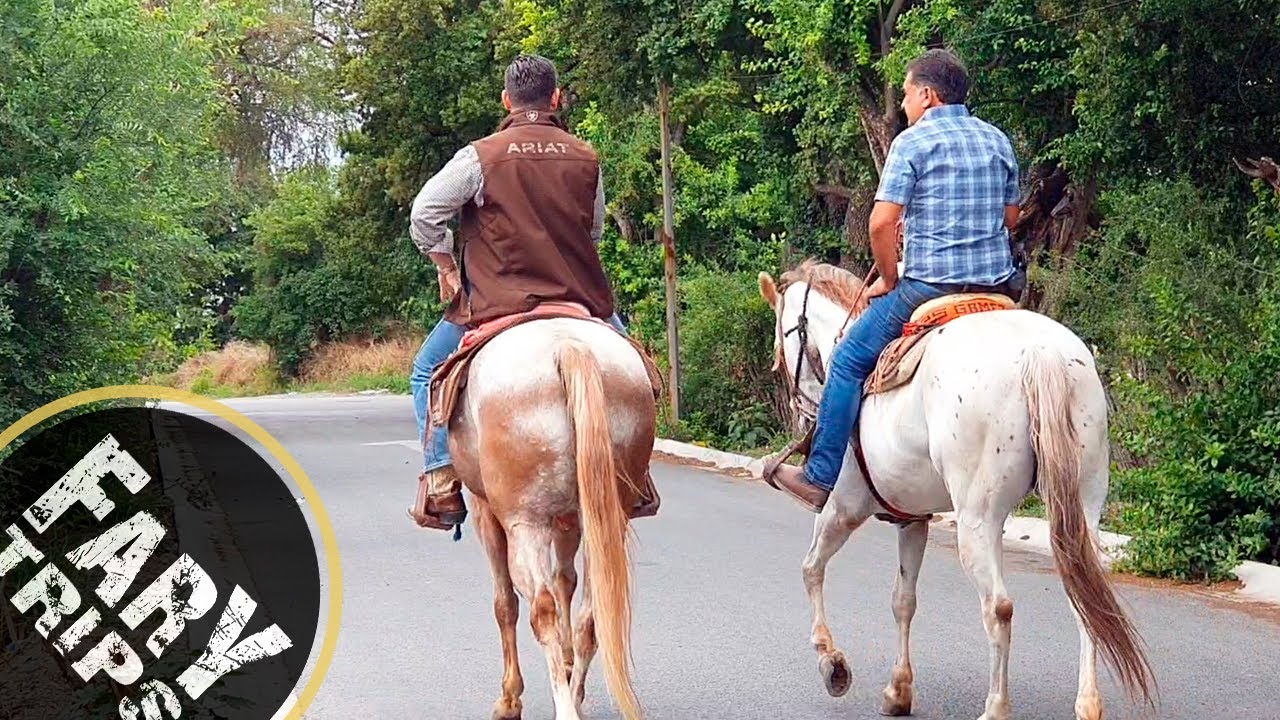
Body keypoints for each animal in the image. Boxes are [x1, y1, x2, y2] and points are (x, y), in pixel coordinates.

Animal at [443, 316, 656, 720]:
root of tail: (568, 346)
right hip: (603, 517)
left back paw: (564, 705)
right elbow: (565, 581)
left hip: (525, 524)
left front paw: (509, 700)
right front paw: (570, 665)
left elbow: (505, 603)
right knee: (591, 615)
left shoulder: (486, 512)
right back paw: (574, 695)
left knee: (541, 611)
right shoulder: (570, 518)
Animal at [756, 260, 1156, 720]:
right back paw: (1088, 704)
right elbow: (903, 600)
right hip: (1081, 507)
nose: (800, 410)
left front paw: (832, 663)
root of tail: (1040, 354)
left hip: (977, 519)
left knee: (999, 607)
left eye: (783, 341)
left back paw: (996, 707)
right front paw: (898, 690)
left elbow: (811, 568)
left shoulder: (843, 508)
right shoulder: (912, 520)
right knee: (1084, 598)